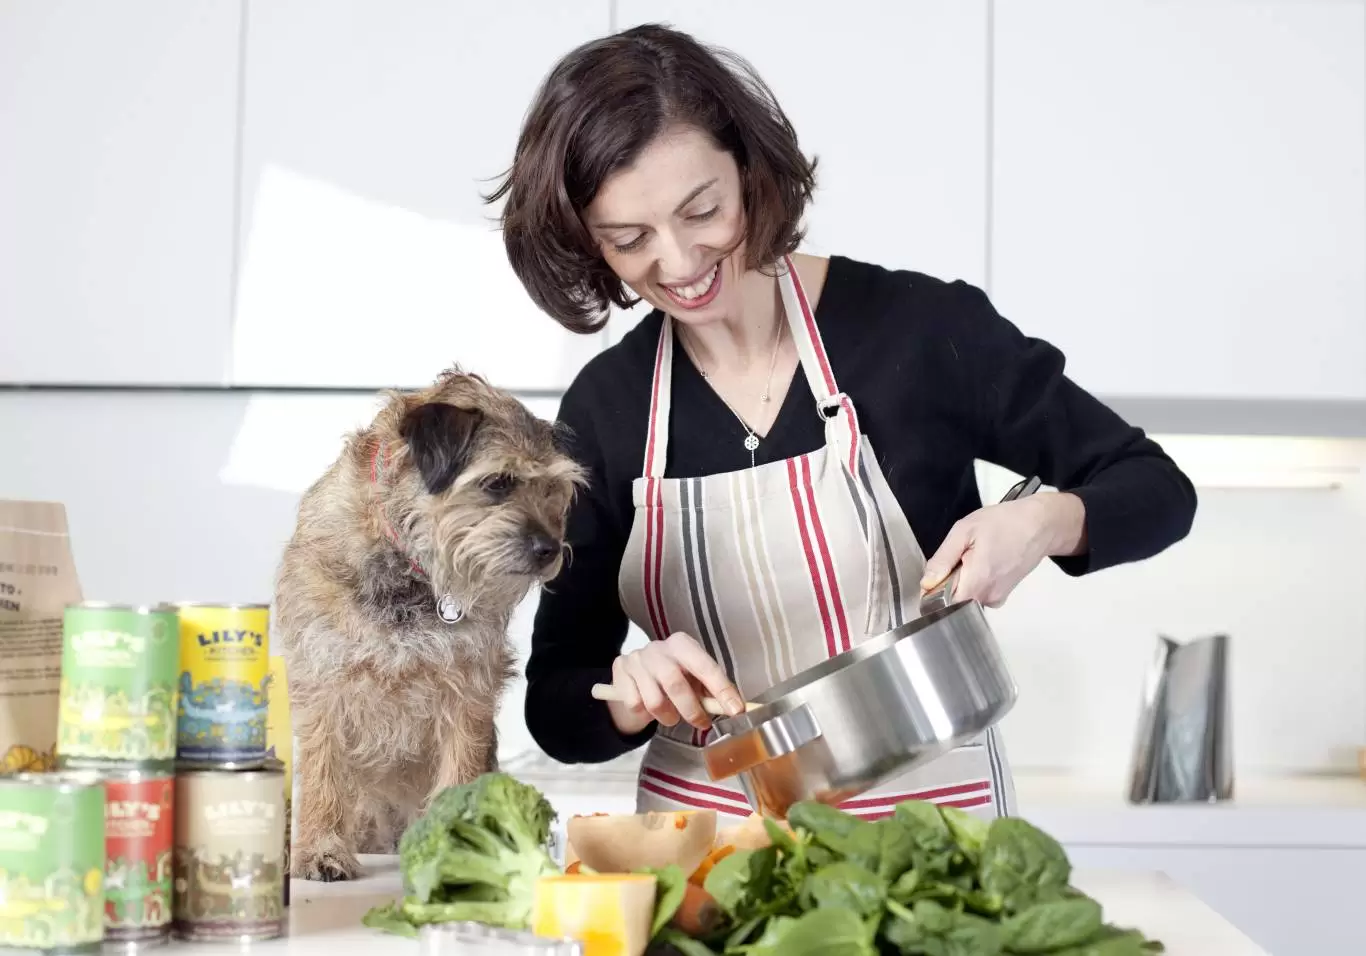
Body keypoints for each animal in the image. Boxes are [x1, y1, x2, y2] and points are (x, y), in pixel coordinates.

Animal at [274, 368, 584, 879]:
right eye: (498, 482)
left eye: (552, 490)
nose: (550, 549)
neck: (409, 569)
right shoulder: (323, 682)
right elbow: (323, 773)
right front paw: (320, 850)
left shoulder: (467, 690)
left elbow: (459, 770)